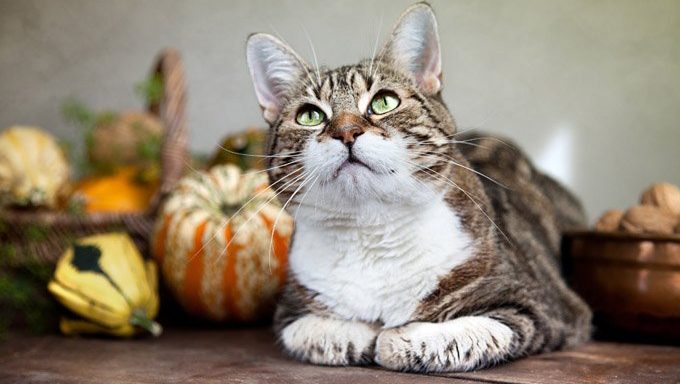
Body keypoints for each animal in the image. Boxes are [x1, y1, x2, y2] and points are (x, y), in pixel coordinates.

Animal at [243, 0, 588, 372]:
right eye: (310, 115)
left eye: (384, 101)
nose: (346, 131)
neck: (371, 231)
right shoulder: (289, 314)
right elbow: (321, 333)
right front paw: (363, 333)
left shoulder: (542, 308)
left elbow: (462, 333)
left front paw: (396, 337)